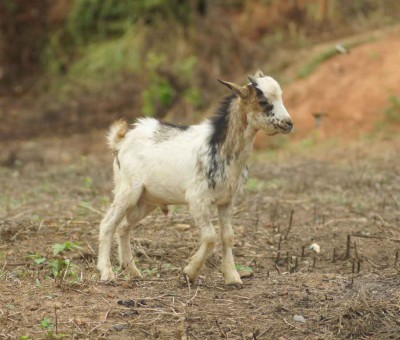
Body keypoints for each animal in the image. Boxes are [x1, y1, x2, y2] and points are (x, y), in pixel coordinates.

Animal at [95, 70, 292, 288]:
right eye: (263, 101)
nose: (289, 123)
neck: (220, 147)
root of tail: (121, 141)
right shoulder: (198, 199)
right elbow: (210, 237)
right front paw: (189, 273)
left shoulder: (227, 201)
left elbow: (228, 236)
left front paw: (232, 277)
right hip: (127, 190)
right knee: (107, 225)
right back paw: (107, 273)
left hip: (146, 201)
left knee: (123, 227)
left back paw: (133, 271)